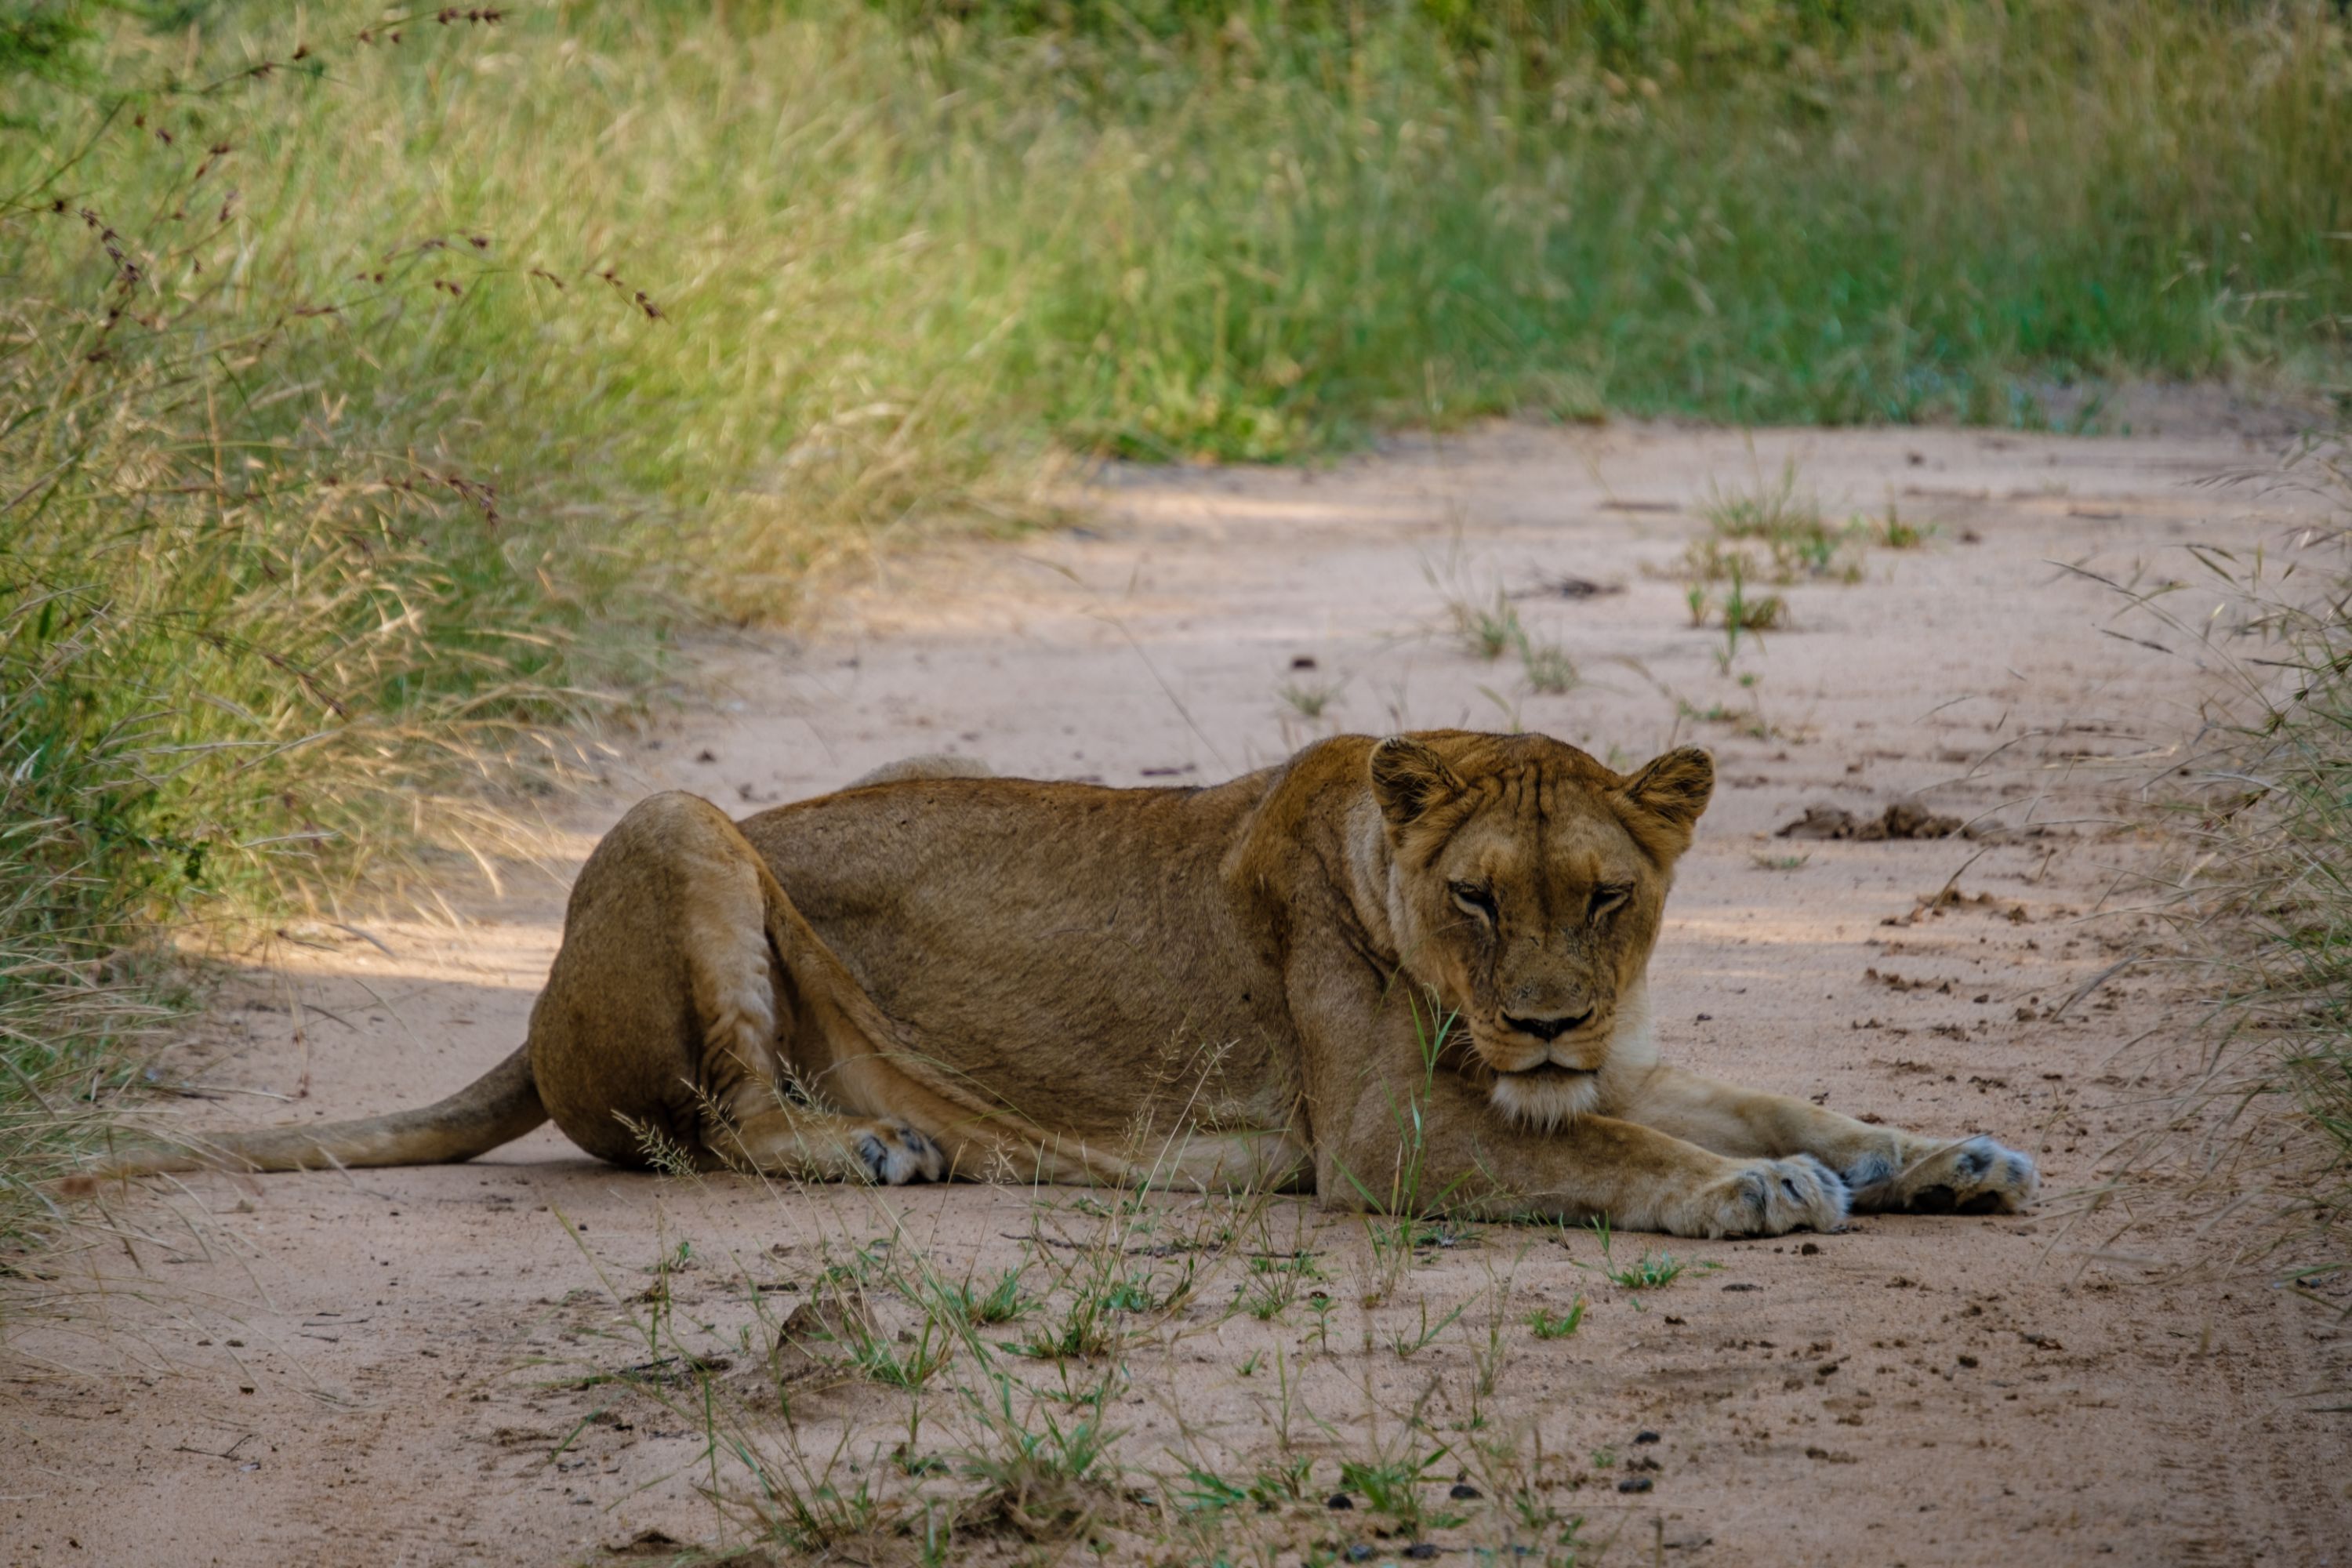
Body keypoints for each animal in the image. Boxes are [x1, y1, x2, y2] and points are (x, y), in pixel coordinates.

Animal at [94, 731, 2037, 1237]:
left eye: (1608, 897)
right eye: (1481, 900)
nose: (1547, 1016)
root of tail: (529, 1011)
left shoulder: (1607, 1063)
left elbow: (1780, 1095)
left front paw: (1945, 1153)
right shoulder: (1398, 1138)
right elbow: (1639, 1154)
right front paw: (1762, 1192)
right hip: (677, 824)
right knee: (699, 1126)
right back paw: (873, 1150)